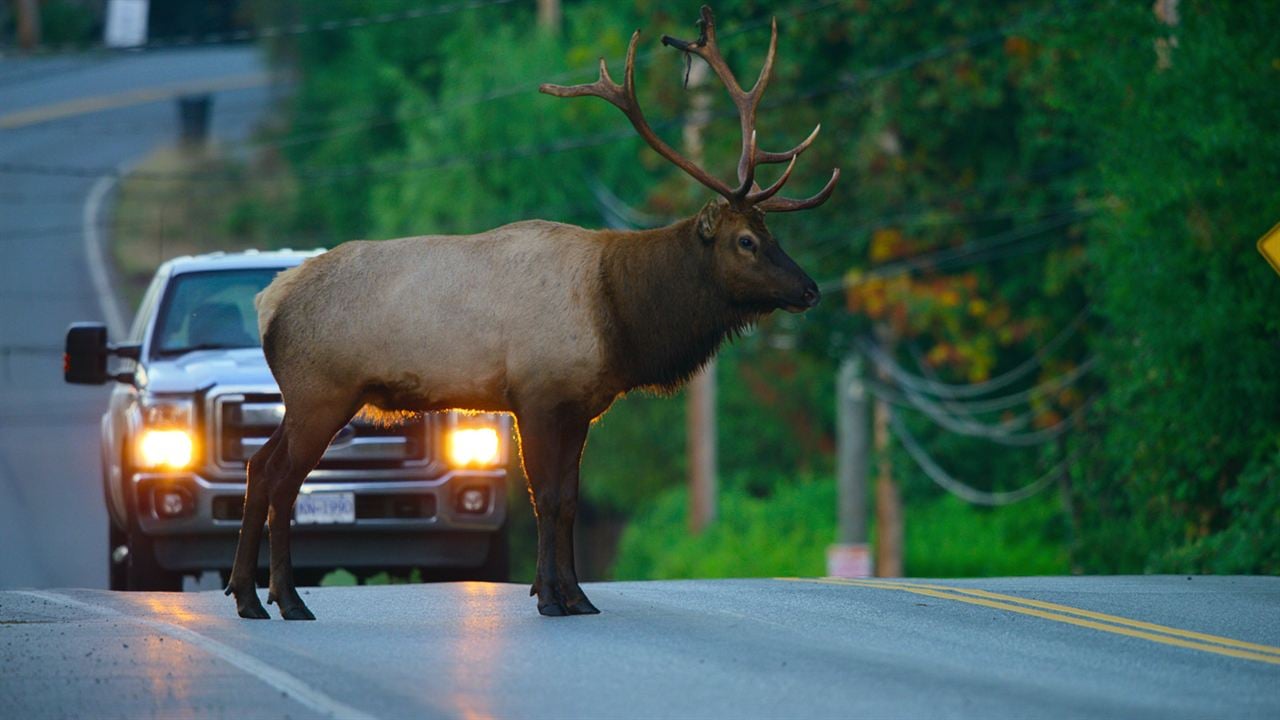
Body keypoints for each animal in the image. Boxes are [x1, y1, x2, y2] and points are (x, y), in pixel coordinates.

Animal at [220, 5, 839, 617]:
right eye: (746, 241)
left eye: (772, 233)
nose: (810, 289)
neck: (619, 316)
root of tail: (269, 300)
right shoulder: (536, 393)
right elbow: (546, 496)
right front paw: (551, 597)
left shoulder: (581, 405)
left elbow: (568, 499)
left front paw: (574, 594)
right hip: (320, 390)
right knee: (282, 477)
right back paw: (281, 599)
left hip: (309, 397)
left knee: (260, 466)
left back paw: (252, 595)